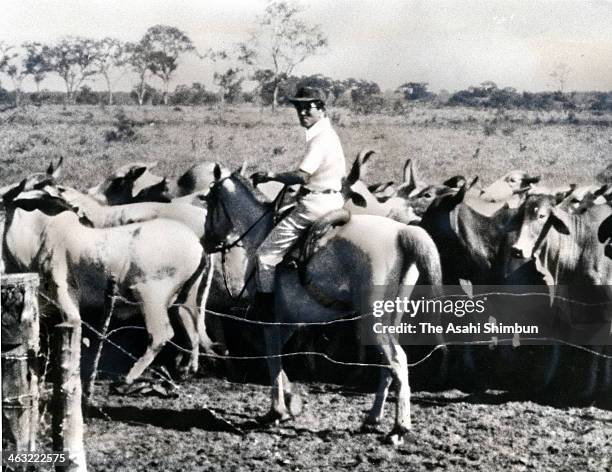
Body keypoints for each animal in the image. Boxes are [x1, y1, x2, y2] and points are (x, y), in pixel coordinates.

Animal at [203, 166, 442, 446]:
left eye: (209, 199)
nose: (206, 241)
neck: (261, 233)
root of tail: (402, 233)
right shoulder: (290, 321)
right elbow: (276, 356)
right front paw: (291, 402)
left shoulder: (271, 319)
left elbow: (272, 357)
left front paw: (278, 410)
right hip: (390, 317)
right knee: (388, 364)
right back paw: (373, 418)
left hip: (373, 320)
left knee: (397, 360)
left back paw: (398, 429)